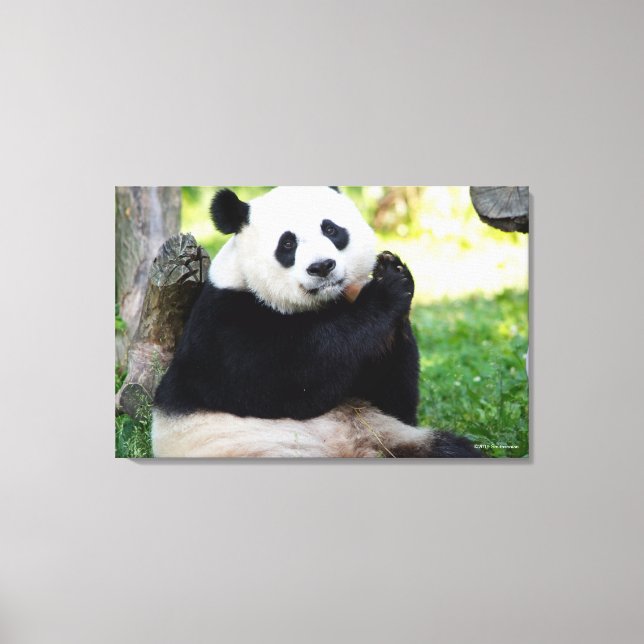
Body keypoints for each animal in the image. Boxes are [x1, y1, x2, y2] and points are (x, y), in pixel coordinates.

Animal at [152, 186, 480, 458]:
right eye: (287, 244)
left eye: (331, 229)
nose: (322, 266)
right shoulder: (224, 328)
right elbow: (296, 378)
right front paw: (387, 289)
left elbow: (393, 400)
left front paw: (392, 269)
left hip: (390, 436)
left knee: (449, 449)